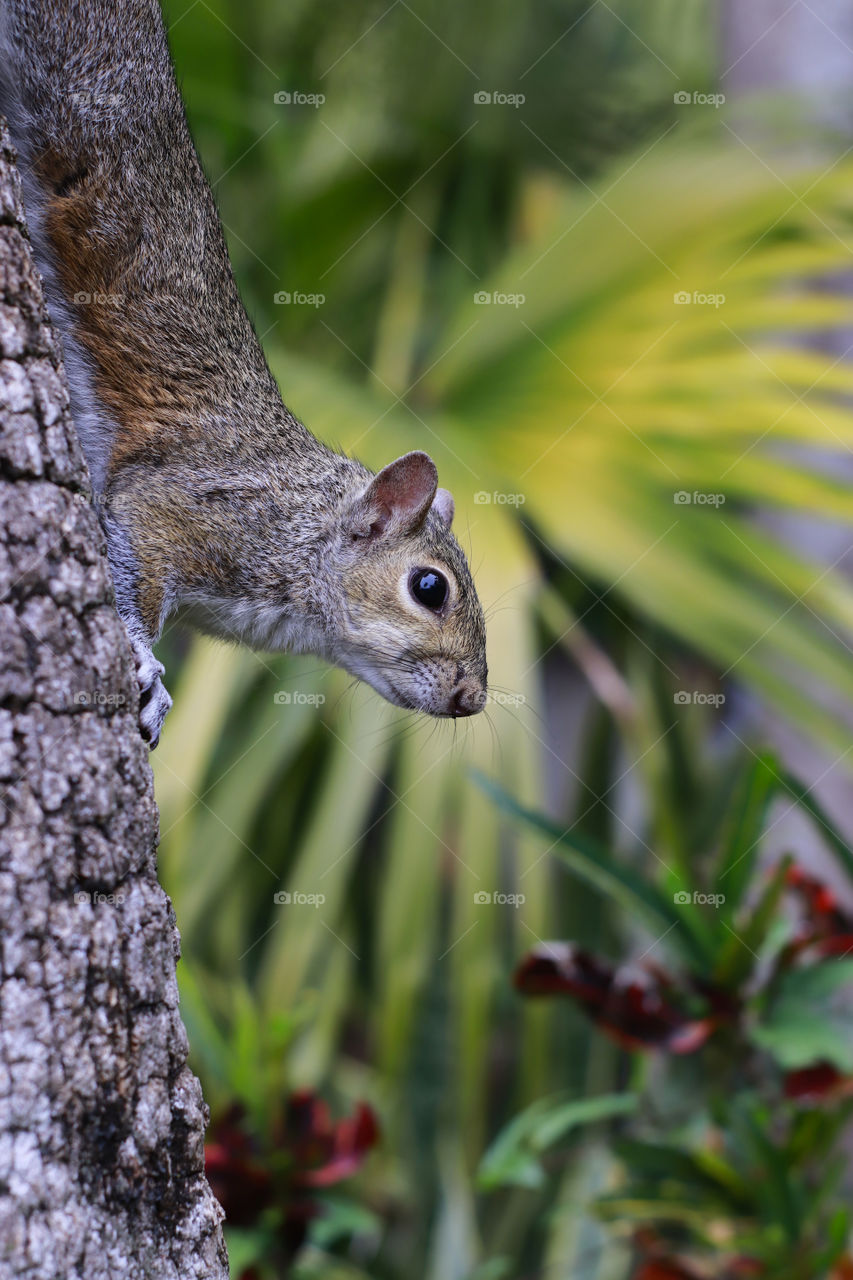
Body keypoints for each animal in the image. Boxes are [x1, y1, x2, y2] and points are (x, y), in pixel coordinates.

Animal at [0, 0, 484, 747]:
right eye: (429, 589)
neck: (308, 533)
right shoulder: (194, 509)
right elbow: (136, 557)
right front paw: (146, 670)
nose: (473, 698)